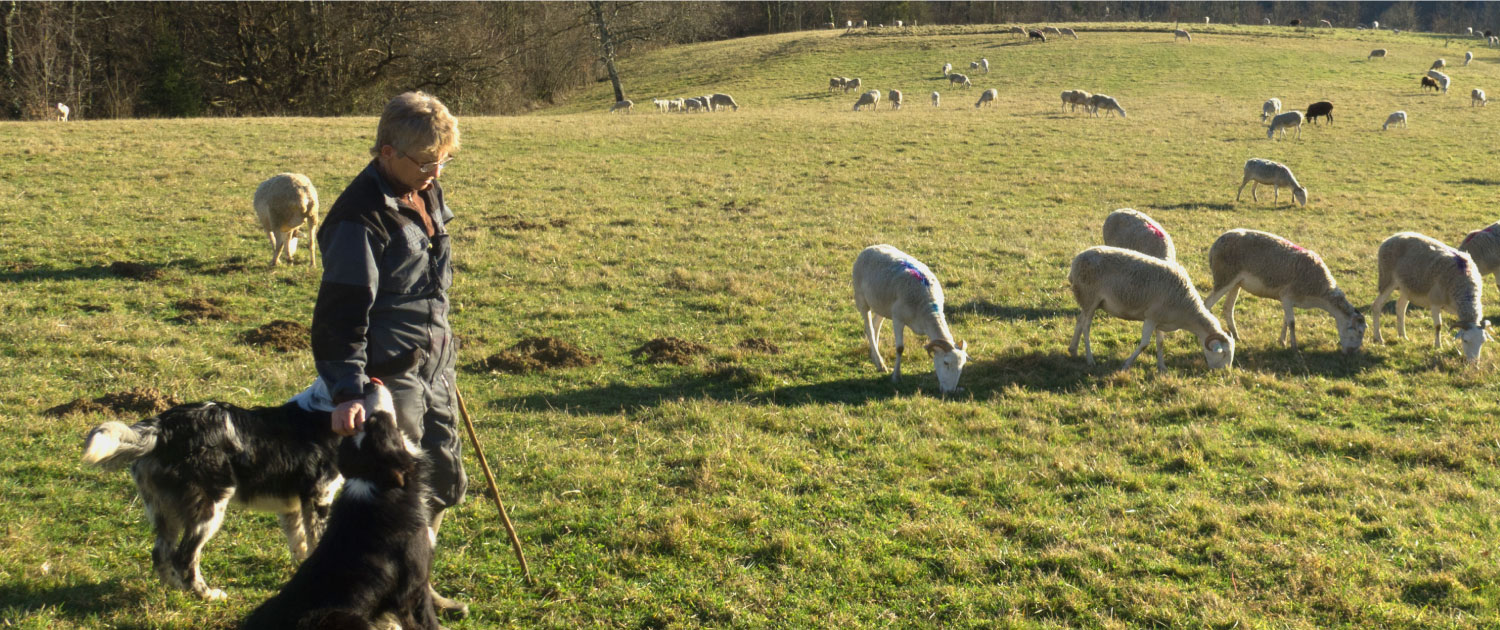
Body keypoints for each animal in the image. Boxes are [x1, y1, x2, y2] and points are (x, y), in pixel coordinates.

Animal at [858, 243, 972, 390]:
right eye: (946, 363)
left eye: (962, 365)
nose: (950, 391)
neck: (927, 307)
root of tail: (872, 247)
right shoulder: (898, 318)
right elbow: (900, 348)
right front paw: (896, 377)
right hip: (862, 299)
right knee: (869, 329)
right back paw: (880, 362)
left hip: (882, 304)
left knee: (876, 324)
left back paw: (876, 359)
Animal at [1068, 246, 1230, 372]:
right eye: (1224, 354)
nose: (1223, 374)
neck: (1186, 308)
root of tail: (1077, 260)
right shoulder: (1151, 317)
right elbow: (1144, 344)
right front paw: (1126, 365)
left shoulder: (1160, 318)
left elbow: (1160, 343)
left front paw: (1162, 367)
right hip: (1090, 297)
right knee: (1086, 326)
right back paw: (1090, 359)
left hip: (1087, 300)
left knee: (1080, 320)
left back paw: (1073, 350)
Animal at [1200, 229, 1368, 354]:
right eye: (1359, 332)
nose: (1352, 354)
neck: (1319, 292)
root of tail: (1216, 243)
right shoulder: (1287, 296)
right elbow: (1292, 323)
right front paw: (1294, 348)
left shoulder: (1288, 300)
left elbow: (1286, 320)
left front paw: (1282, 341)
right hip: (1224, 277)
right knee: (1207, 304)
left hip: (1236, 283)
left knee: (1228, 308)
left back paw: (1236, 336)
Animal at [1374, 231, 1488, 361]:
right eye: (1465, 340)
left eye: (1483, 341)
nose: (1474, 363)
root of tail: (1393, 236)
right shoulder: (1435, 302)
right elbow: (1438, 326)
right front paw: (1438, 346)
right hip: (1387, 279)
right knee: (1377, 306)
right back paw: (1378, 338)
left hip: (1407, 288)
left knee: (1400, 307)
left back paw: (1403, 335)